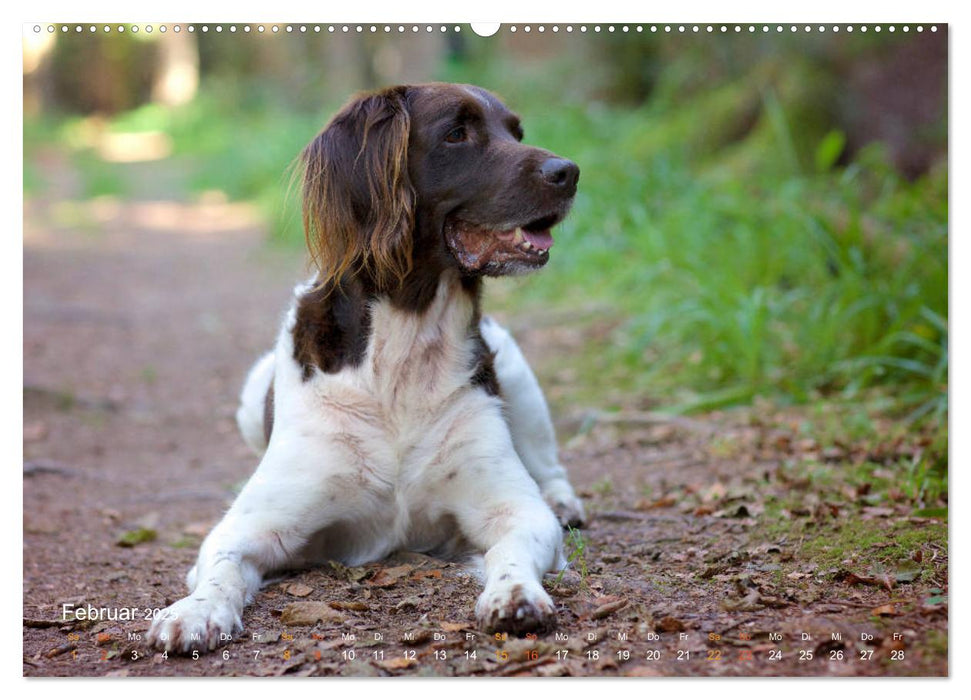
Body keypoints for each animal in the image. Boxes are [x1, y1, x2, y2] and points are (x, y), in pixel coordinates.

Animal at [144, 85, 584, 652]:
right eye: (456, 133)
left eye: (516, 132)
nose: (569, 171)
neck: (408, 345)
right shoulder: (250, 525)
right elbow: (220, 566)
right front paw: (193, 612)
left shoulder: (511, 506)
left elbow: (513, 546)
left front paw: (515, 595)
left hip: (516, 371)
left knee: (549, 468)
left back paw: (565, 502)